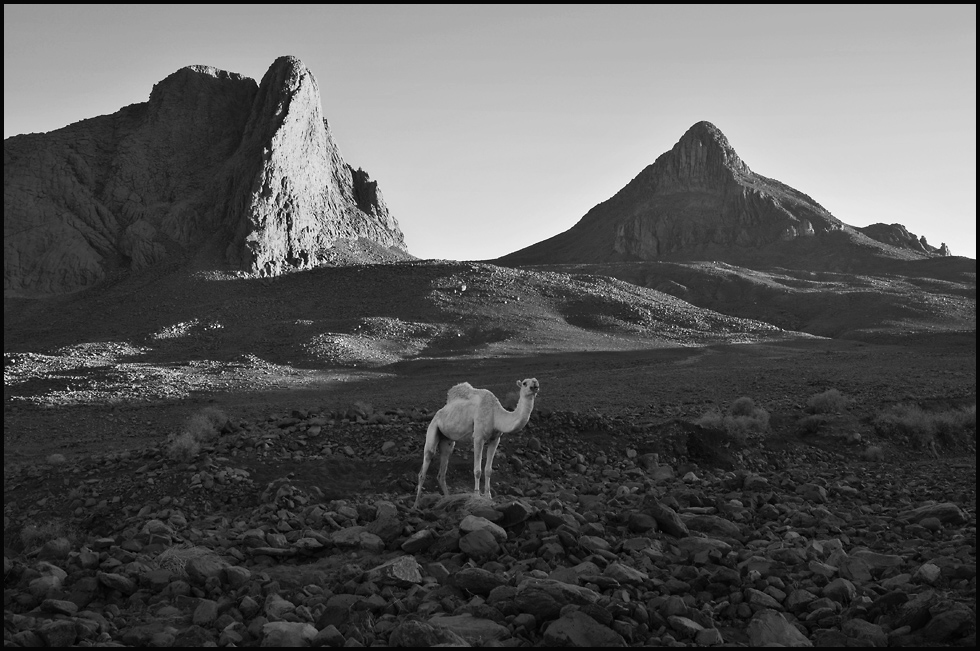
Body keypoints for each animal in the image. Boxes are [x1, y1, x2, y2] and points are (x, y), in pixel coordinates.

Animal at [412, 376, 540, 510]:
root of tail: (438, 413)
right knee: (425, 464)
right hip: (433, 429)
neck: (495, 414)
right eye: (525, 383)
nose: (535, 385)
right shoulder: (478, 437)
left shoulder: (495, 439)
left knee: (442, 471)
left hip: (447, 440)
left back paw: (447, 500)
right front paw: (477, 495)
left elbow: (488, 470)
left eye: (536, 380)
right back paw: (416, 505)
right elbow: (477, 470)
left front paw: (488, 496)